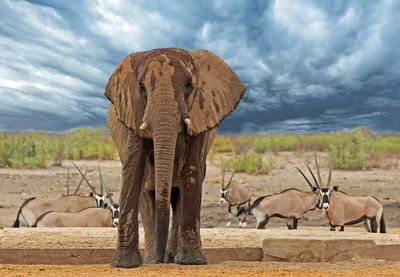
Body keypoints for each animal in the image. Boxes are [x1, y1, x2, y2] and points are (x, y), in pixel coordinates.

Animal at [104, 48, 245, 268]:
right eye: (142, 88)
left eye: (189, 85)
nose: (160, 259)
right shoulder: (133, 112)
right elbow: (134, 168)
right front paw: (125, 264)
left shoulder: (200, 114)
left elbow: (192, 169)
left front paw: (191, 262)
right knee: (147, 198)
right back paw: (153, 259)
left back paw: (172, 257)